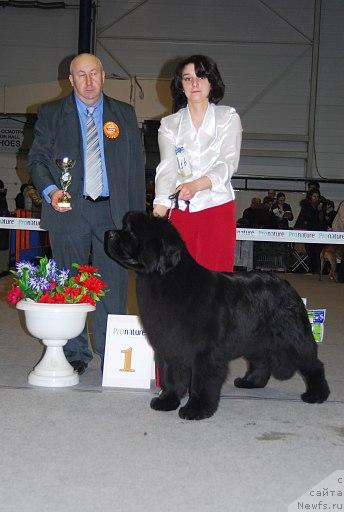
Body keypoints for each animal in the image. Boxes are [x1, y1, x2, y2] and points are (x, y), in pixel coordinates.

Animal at [105, 212, 330, 420]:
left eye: (132, 233)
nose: (109, 233)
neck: (167, 280)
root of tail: (287, 284)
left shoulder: (205, 351)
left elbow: (201, 381)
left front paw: (197, 409)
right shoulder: (170, 344)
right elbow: (172, 375)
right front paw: (167, 400)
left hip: (292, 337)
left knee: (313, 363)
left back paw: (317, 394)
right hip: (256, 338)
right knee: (261, 360)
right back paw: (250, 382)